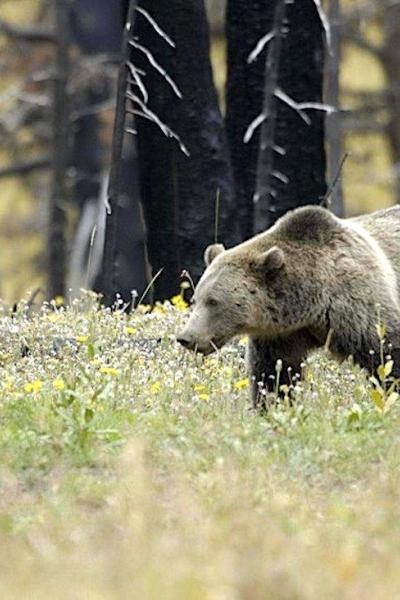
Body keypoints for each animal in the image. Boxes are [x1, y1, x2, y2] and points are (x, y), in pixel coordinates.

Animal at [178, 206, 400, 408]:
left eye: (213, 301)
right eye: (196, 299)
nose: (185, 337)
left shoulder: (358, 307)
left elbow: (386, 355)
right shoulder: (280, 334)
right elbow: (273, 374)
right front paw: (272, 405)